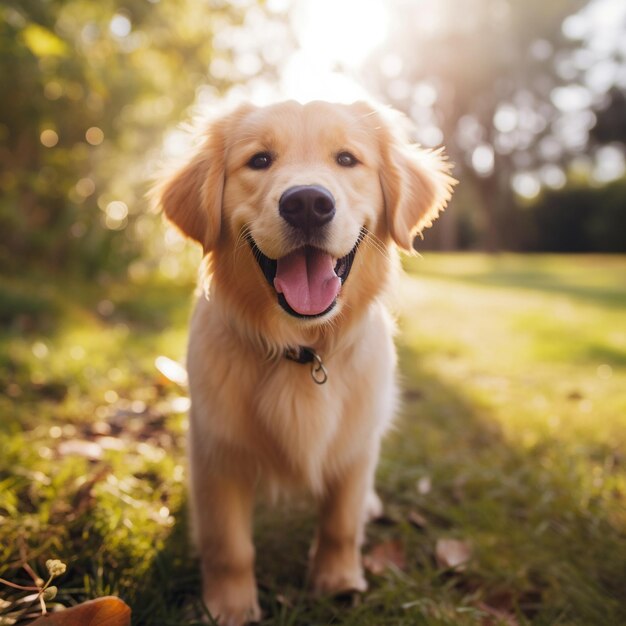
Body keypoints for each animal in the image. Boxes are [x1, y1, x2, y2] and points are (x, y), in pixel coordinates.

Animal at [157, 100, 454, 620]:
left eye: (347, 159)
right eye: (259, 160)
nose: (309, 203)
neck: (302, 348)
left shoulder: (356, 448)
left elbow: (340, 522)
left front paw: (337, 582)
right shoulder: (216, 452)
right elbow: (228, 545)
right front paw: (230, 608)